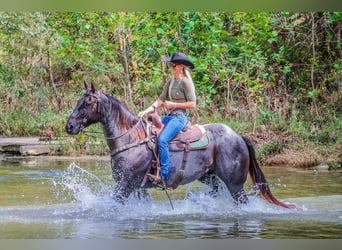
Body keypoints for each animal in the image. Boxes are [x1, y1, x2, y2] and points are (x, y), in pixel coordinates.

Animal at [66, 82, 294, 209]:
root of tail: (239, 136)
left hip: (235, 184)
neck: (131, 140)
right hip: (209, 176)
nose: (69, 126)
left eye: (87, 103)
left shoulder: (126, 184)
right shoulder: (137, 188)